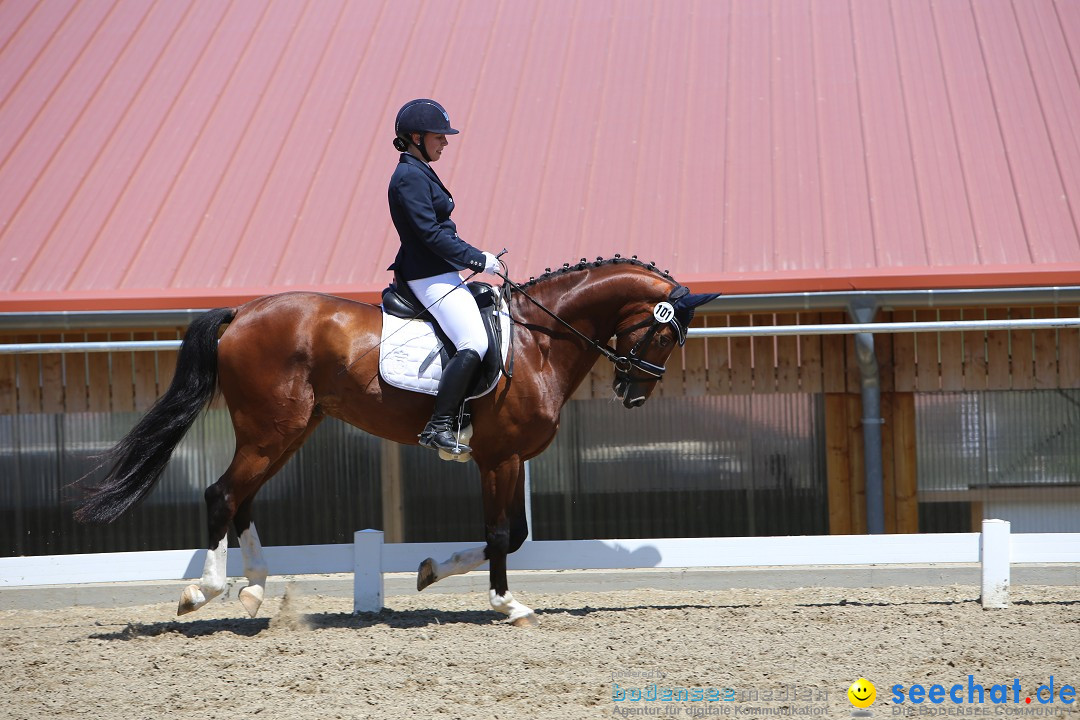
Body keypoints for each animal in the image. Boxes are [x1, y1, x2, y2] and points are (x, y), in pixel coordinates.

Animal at [76, 257, 717, 626]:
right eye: (666, 334)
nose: (634, 392)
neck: (539, 340)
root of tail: (241, 314)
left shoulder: (505, 460)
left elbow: (514, 535)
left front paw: (431, 569)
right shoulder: (499, 458)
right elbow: (501, 534)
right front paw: (506, 604)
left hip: (288, 432)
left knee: (243, 498)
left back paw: (254, 592)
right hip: (270, 429)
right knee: (221, 494)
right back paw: (202, 592)